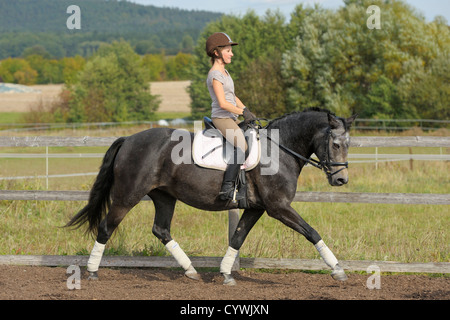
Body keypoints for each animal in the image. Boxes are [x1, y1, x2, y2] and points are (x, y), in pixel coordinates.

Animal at [67, 107, 356, 284]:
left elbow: (238, 238)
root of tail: (128, 140)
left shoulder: (257, 208)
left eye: (349, 144)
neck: (279, 149)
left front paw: (226, 273)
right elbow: (312, 232)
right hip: (128, 195)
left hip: (164, 196)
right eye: (335, 144)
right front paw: (338, 270)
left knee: (161, 230)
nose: (341, 179)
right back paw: (92, 272)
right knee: (106, 227)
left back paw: (191, 271)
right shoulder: (278, 207)